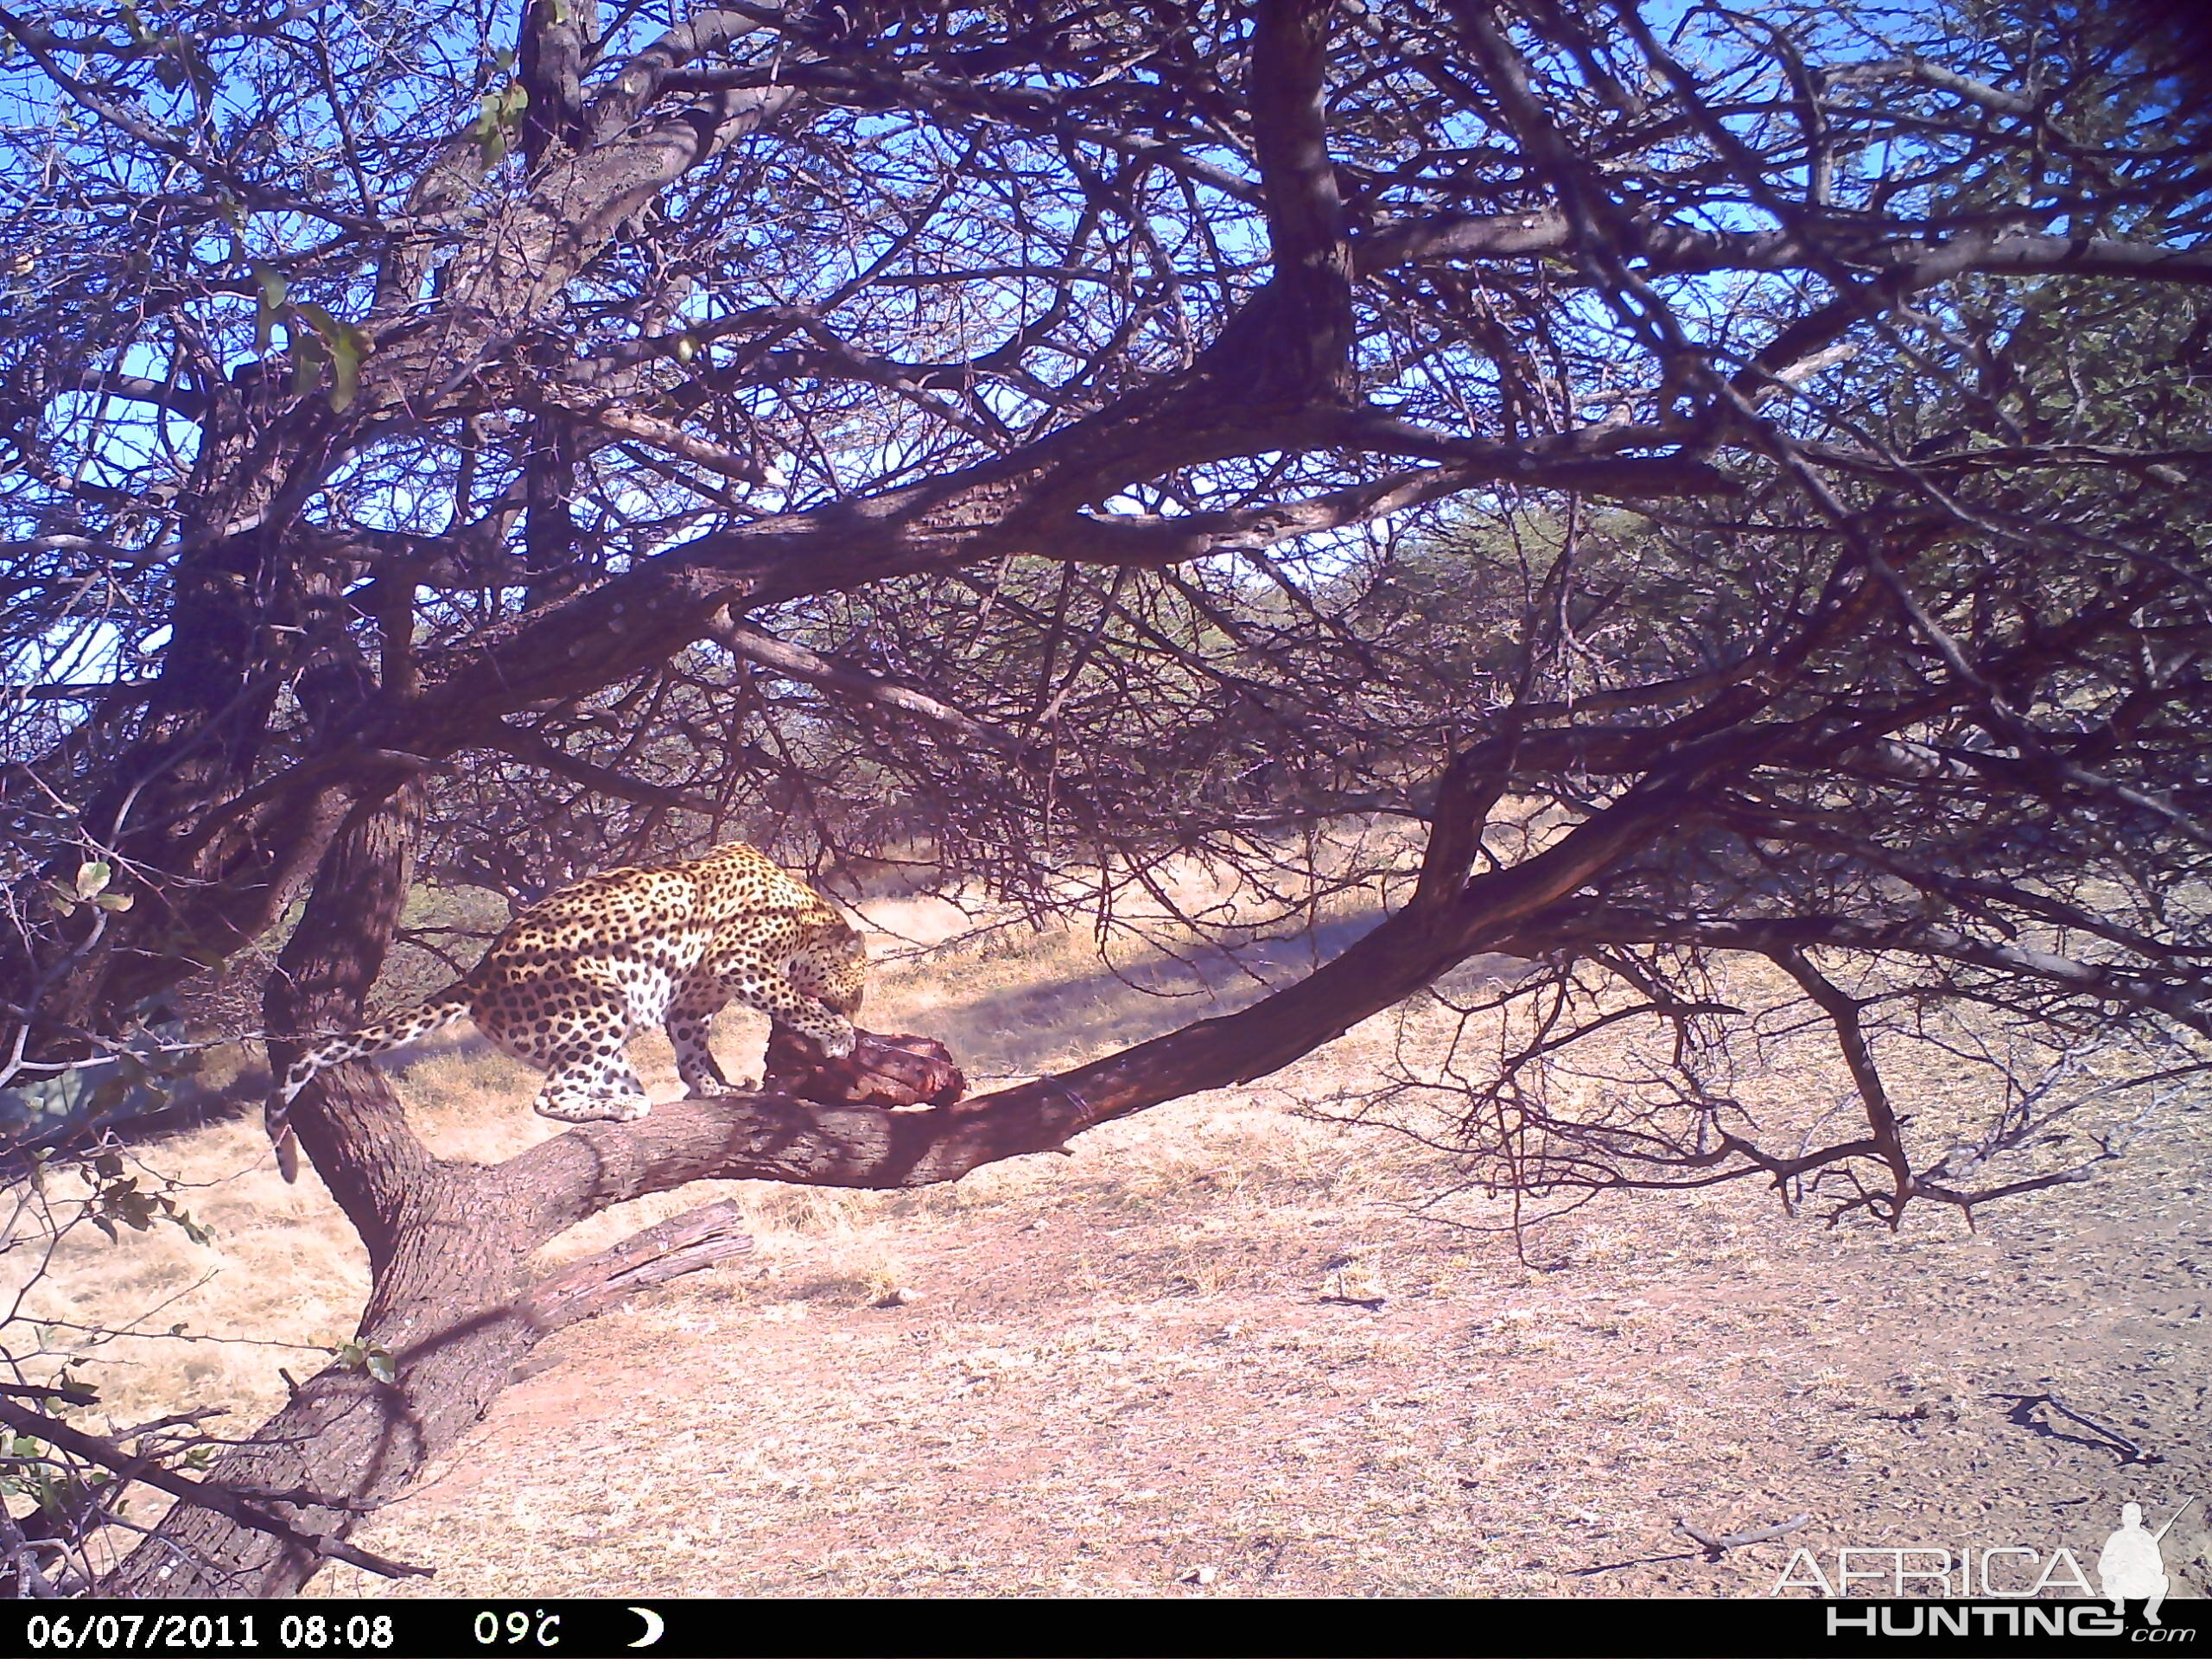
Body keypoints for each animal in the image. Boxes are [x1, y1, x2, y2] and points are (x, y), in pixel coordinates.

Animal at [267, 844, 862, 1185]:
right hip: (597, 1005)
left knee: (596, 1077)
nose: (856, 1011)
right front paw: (837, 1036)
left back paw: (628, 1100)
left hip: (596, 1030)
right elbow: (790, 998)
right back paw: (620, 1109)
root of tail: (478, 976)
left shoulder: (692, 1002)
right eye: (854, 994)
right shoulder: (737, 958)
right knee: (548, 1097)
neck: (805, 915)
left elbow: (693, 1049)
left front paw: (714, 1088)